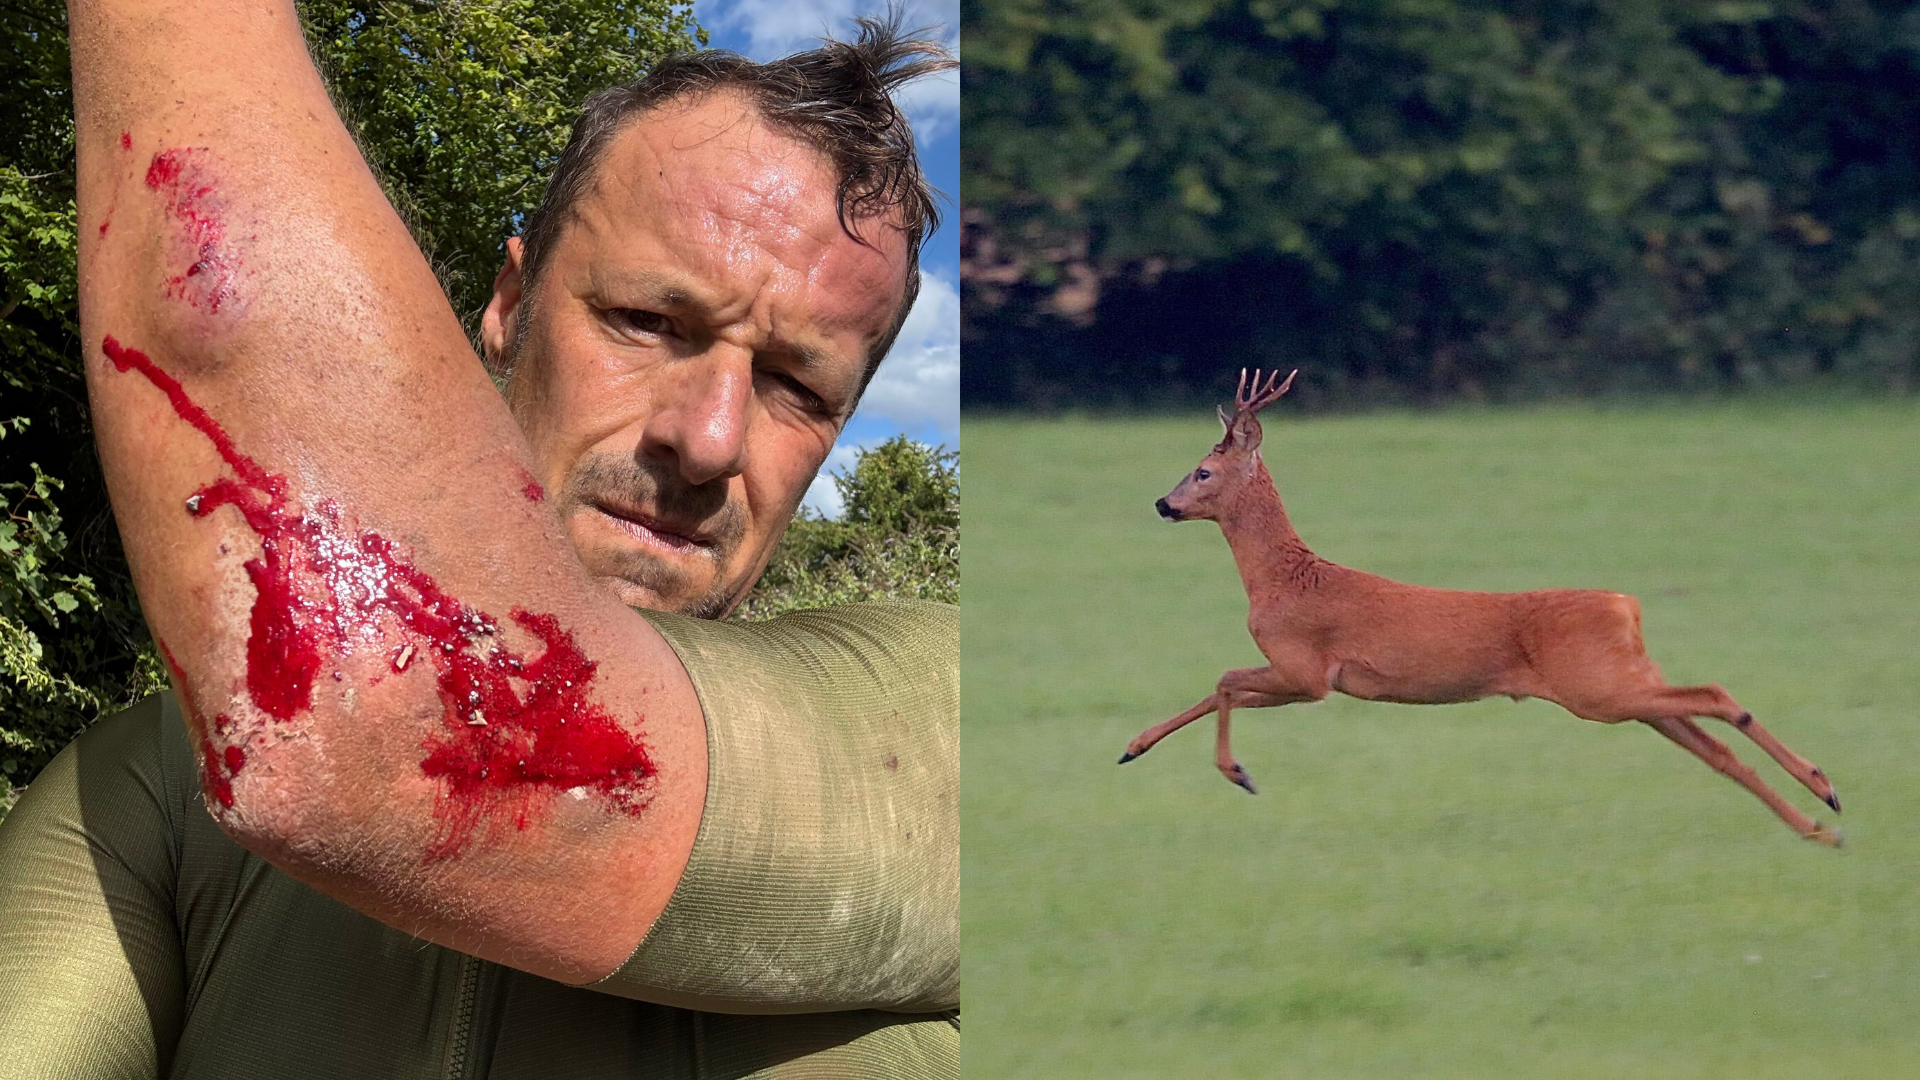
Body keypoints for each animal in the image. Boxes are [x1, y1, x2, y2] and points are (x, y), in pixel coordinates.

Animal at [1118, 368, 1843, 847]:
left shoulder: (1308, 670)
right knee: (1712, 743)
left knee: (1718, 696)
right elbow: (1218, 687)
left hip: (1598, 690)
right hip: (1626, 683)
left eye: (1202, 472)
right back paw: (1818, 823)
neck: (1280, 579)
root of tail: (1625, 605)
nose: (1162, 503)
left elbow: (1223, 680)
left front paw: (1237, 772)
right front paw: (1132, 748)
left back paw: (1824, 791)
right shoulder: (1306, 677)